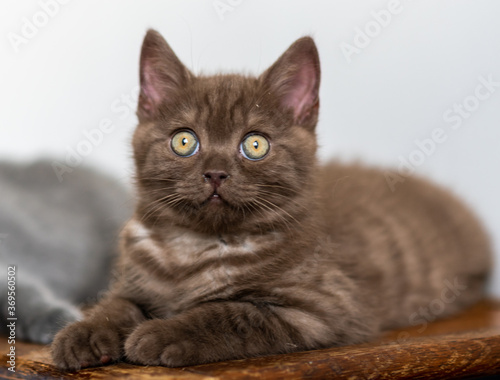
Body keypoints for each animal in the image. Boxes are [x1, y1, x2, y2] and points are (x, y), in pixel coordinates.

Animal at [51, 30, 492, 372]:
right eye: (184, 141)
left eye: (255, 145)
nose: (215, 173)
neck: (196, 249)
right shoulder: (134, 282)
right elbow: (115, 304)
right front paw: (81, 335)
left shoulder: (322, 309)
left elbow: (232, 313)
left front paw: (158, 335)